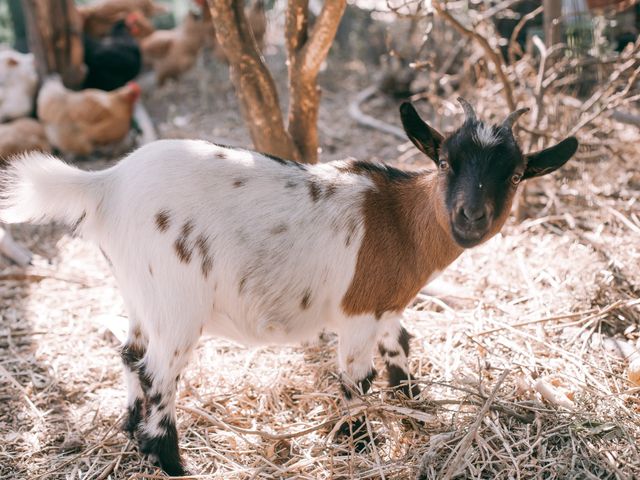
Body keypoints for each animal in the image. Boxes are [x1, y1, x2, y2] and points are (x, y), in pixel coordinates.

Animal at [0, 99, 580, 474]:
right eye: (443, 162)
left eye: (515, 175)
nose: (469, 217)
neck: (398, 220)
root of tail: (105, 184)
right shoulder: (359, 311)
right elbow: (356, 380)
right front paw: (357, 444)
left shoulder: (388, 306)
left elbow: (401, 347)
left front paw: (412, 404)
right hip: (177, 302)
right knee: (157, 374)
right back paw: (172, 463)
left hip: (141, 294)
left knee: (129, 355)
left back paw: (129, 431)